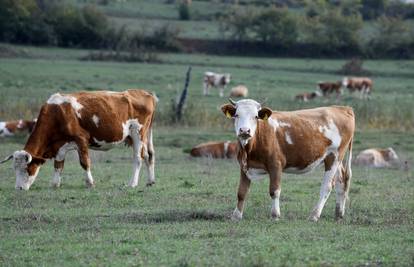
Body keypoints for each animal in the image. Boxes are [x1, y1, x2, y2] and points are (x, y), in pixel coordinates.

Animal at [0, 90, 157, 191]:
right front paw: (55, 184)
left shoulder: (81, 140)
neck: (57, 114)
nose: (19, 188)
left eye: (27, 168)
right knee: (149, 155)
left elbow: (84, 163)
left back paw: (132, 183)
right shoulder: (60, 145)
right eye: (14, 169)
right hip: (145, 135)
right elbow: (58, 165)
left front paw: (90, 183)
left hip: (137, 133)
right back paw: (150, 181)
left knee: (138, 158)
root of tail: (145, 93)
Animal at [222, 98, 354, 222]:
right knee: (341, 181)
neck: (249, 150)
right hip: (335, 159)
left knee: (327, 186)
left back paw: (314, 215)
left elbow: (274, 191)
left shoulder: (276, 165)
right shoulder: (244, 166)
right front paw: (236, 216)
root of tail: (341, 108)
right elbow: (241, 192)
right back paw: (338, 214)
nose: (245, 130)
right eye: (236, 115)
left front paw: (275, 215)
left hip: (334, 156)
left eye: (255, 116)